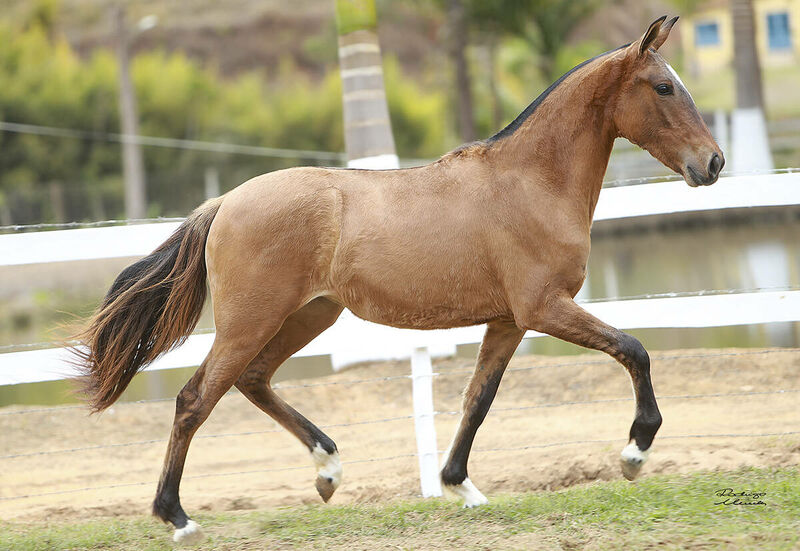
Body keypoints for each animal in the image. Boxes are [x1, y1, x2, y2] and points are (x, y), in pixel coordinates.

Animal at [73, 16, 724, 544]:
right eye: (664, 87)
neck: (529, 183)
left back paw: (328, 471)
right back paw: (178, 518)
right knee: (195, 399)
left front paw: (461, 487)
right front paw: (635, 451)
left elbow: (478, 400)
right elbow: (633, 349)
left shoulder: (509, 321)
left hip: (308, 315)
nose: (713, 163)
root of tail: (224, 202)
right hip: (251, 319)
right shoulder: (545, 307)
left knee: (253, 381)